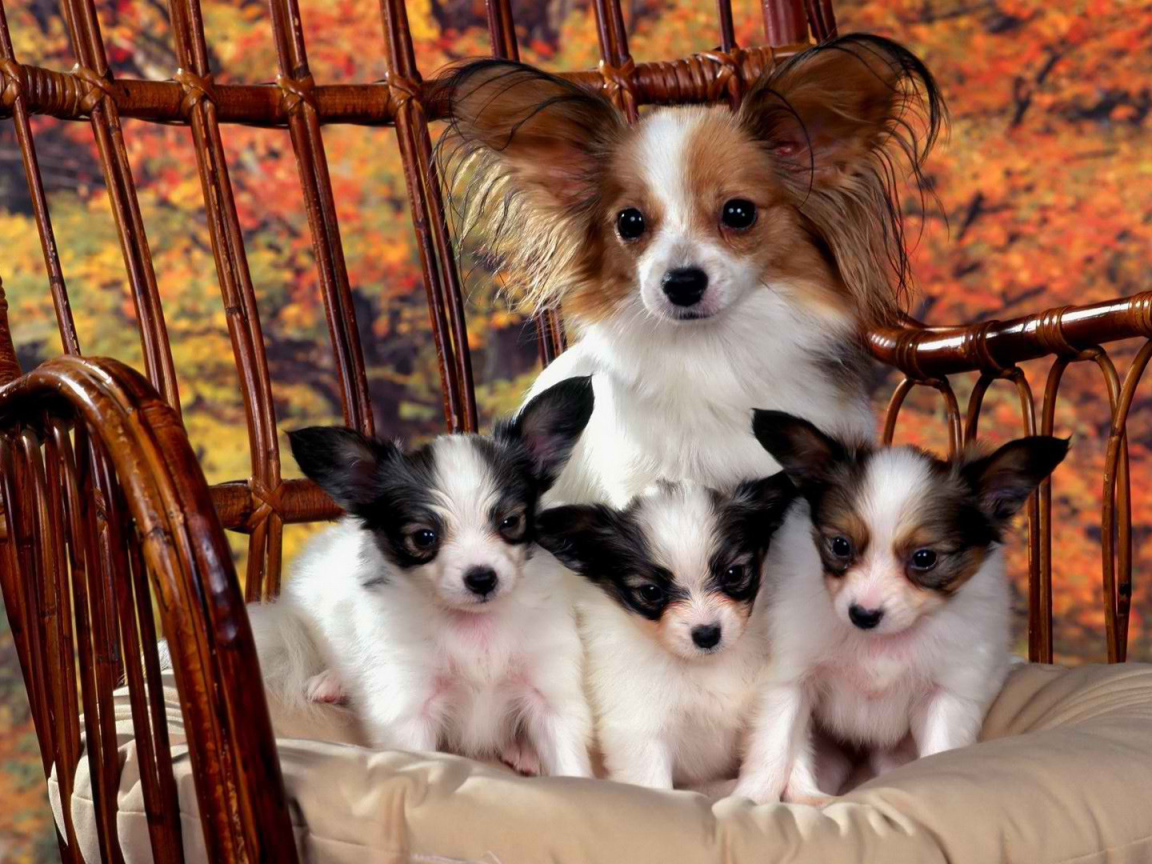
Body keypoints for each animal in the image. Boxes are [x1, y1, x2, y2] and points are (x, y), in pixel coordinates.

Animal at [249, 377, 594, 778]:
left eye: (510, 522)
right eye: (424, 537)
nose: (482, 578)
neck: (475, 629)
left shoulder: (550, 692)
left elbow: (569, 765)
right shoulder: (408, 703)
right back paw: (331, 680)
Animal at [536, 476, 792, 797]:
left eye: (734, 574)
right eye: (650, 592)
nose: (707, 634)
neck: (703, 665)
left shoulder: (771, 704)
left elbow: (777, 753)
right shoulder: (639, 730)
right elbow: (653, 786)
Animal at [737, 410, 1069, 806]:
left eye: (925, 558)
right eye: (840, 545)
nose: (863, 615)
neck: (881, 644)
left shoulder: (947, 695)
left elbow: (939, 751)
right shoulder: (791, 680)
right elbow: (775, 746)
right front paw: (749, 801)